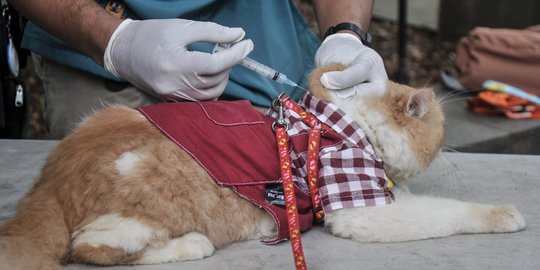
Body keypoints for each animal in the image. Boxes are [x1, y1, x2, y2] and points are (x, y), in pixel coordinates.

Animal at [0, 65, 524, 268]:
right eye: (440, 131)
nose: (449, 149)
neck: (339, 121)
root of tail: (47, 184)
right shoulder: (362, 207)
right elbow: (448, 211)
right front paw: (504, 214)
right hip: (152, 203)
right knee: (91, 248)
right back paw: (192, 245)